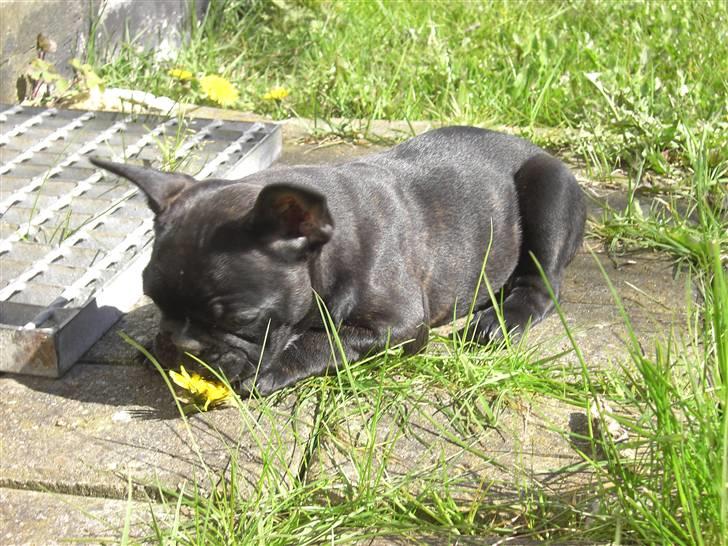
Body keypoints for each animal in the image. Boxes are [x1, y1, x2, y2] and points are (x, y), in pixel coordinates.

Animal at [91, 125, 584, 394]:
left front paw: (276, 369)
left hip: (549, 188)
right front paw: (152, 342)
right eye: (152, 298)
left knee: (542, 285)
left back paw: (500, 320)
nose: (182, 347)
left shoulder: (401, 324)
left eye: (240, 319)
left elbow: (329, 340)